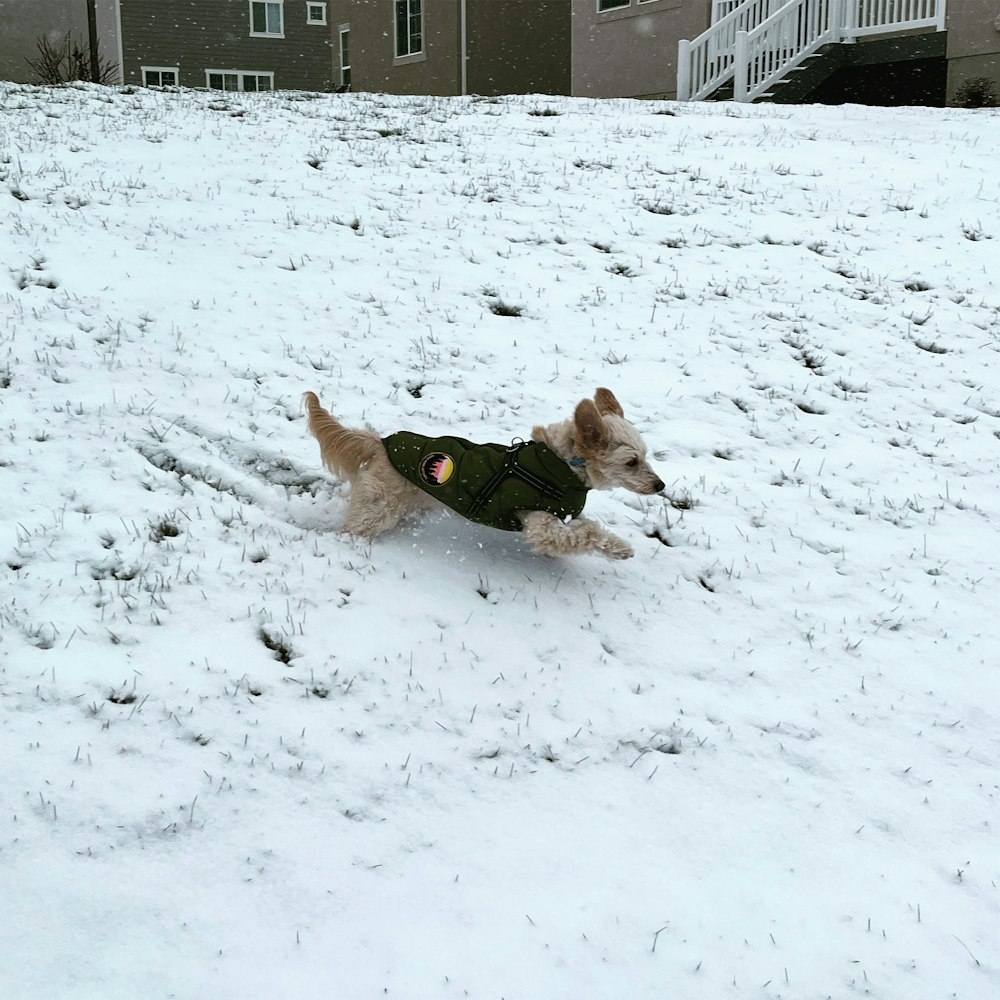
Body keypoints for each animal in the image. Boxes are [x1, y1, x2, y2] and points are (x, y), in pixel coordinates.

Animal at [302, 386, 664, 560]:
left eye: (646, 456)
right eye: (631, 462)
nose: (660, 485)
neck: (561, 466)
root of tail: (381, 443)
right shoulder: (539, 524)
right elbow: (585, 533)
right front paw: (620, 549)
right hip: (378, 506)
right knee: (354, 527)